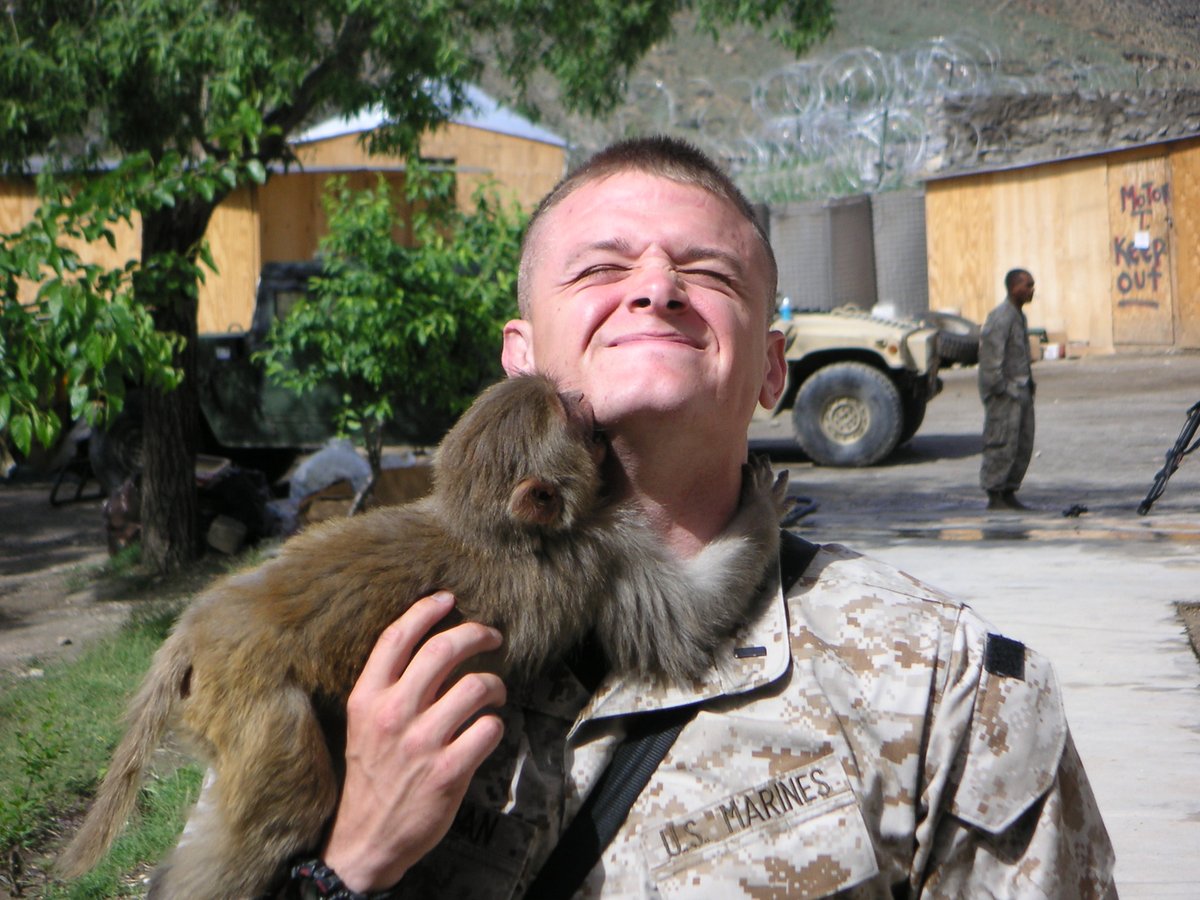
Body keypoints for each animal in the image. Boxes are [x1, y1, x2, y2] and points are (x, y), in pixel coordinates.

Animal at [60, 369, 787, 897]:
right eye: (572, 415)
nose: (586, 396)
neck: (493, 528)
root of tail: (199, 624)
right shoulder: (605, 545)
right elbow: (685, 622)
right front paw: (764, 502)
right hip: (255, 705)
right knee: (285, 811)